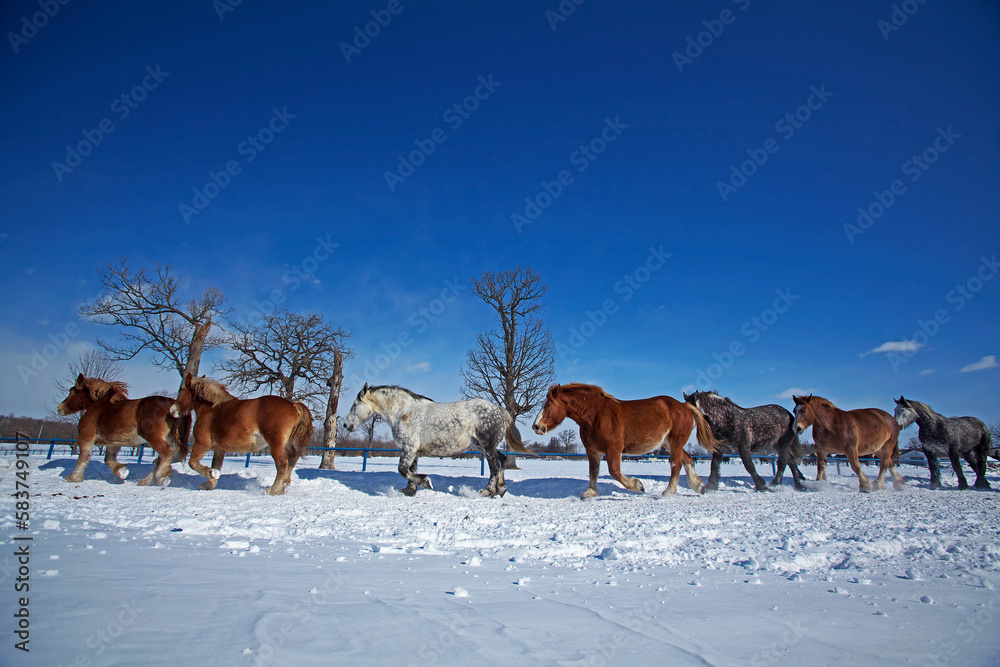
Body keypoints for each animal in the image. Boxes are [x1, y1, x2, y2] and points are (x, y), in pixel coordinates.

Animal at [57, 374, 190, 486]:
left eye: (72, 391)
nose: (59, 408)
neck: (99, 407)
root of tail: (173, 405)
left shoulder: (86, 438)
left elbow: (83, 458)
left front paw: (73, 477)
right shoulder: (113, 443)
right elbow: (108, 459)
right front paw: (122, 471)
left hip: (153, 437)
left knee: (166, 452)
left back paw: (163, 477)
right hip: (168, 438)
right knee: (163, 458)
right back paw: (146, 481)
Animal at [169, 374, 314, 495]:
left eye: (181, 390)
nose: (172, 410)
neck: (211, 410)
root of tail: (294, 405)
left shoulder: (202, 443)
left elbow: (192, 462)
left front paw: (209, 473)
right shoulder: (220, 449)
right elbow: (216, 465)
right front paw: (210, 482)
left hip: (275, 443)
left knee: (282, 463)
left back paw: (272, 489)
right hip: (286, 443)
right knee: (293, 458)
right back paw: (284, 486)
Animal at [342, 384, 534, 497]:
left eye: (355, 405)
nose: (345, 425)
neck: (403, 412)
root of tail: (498, 409)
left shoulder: (409, 447)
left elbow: (403, 469)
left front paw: (425, 482)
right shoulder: (414, 450)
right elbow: (411, 469)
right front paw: (410, 489)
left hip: (486, 446)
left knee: (495, 466)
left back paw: (487, 491)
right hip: (483, 446)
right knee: (501, 461)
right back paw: (501, 489)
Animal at [531, 383, 719, 498]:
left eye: (548, 404)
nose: (536, 426)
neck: (596, 415)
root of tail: (683, 406)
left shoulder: (614, 449)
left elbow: (614, 472)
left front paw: (638, 485)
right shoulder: (592, 451)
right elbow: (594, 471)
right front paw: (590, 493)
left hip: (676, 442)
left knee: (677, 464)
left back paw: (669, 491)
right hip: (669, 443)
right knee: (687, 459)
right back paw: (699, 486)